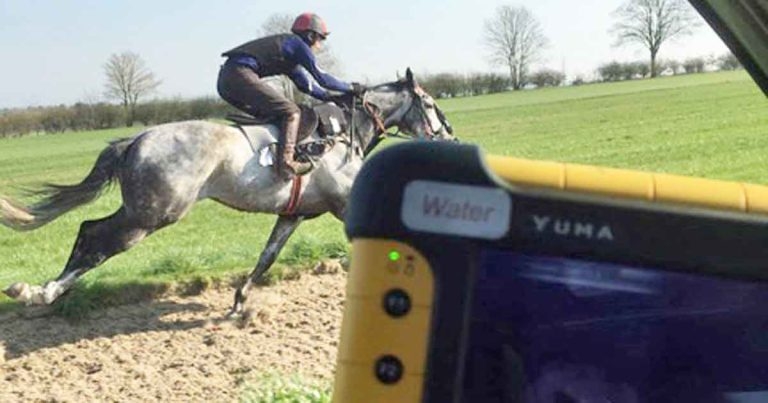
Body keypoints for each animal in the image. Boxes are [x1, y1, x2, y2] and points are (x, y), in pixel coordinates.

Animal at [0, 68, 455, 315]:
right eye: (432, 105)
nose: (449, 137)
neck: (344, 132)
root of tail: (135, 140)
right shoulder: (345, 207)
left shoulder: (292, 214)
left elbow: (267, 257)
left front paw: (239, 300)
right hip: (152, 214)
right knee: (95, 238)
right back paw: (42, 292)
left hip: (143, 211)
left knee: (88, 231)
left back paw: (47, 290)